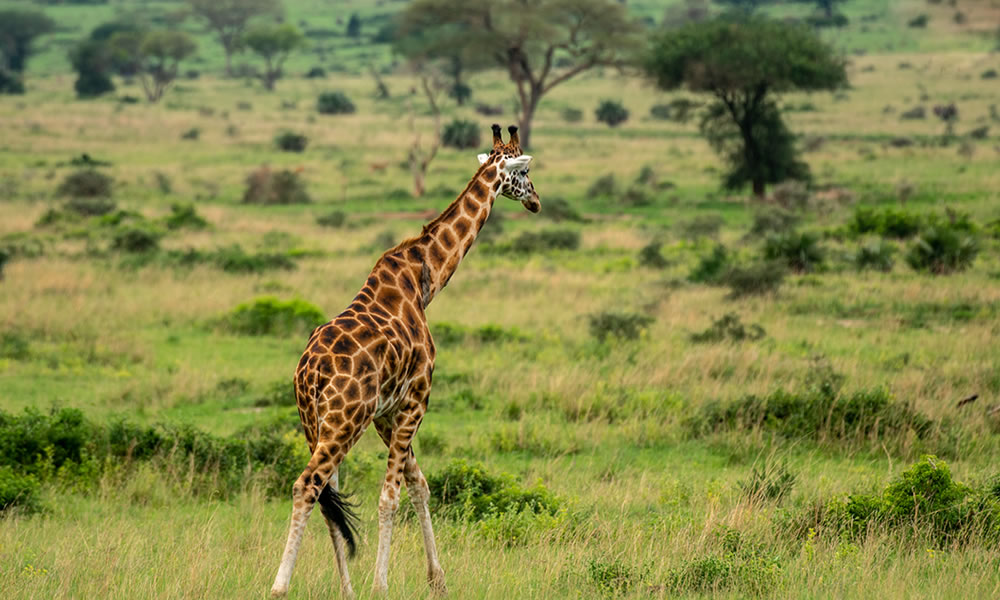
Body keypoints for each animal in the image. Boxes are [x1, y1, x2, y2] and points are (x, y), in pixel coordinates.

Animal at [268, 124, 540, 596]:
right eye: (523, 170)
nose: (536, 201)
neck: (424, 278)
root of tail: (310, 372)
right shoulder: (416, 398)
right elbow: (390, 496)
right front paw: (382, 586)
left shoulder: (387, 412)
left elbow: (419, 484)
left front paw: (437, 580)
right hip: (343, 422)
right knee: (306, 486)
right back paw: (279, 587)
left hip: (313, 423)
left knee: (326, 496)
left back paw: (346, 590)